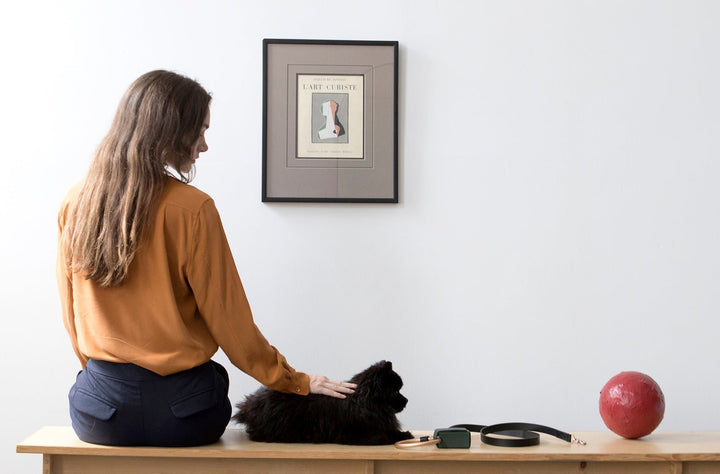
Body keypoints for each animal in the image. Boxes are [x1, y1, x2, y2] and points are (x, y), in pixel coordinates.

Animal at [231, 362, 410, 444]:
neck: (365, 404)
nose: (407, 401)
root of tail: (249, 405)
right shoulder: (362, 434)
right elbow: (385, 435)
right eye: (396, 392)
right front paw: (404, 434)